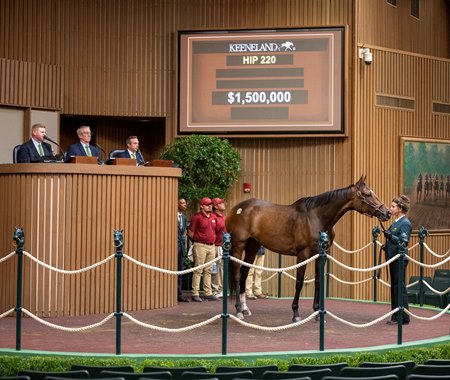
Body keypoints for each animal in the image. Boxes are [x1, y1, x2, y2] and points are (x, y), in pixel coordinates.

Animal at [227, 175, 392, 320]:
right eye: (368, 194)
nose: (387, 212)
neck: (316, 217)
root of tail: (237, 209)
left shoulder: (321, 255)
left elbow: (318, 281)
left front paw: (317, 312)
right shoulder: (303, 255)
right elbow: (299, 282)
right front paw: (296, 313)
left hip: (252, 246)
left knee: (244, 272)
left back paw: (244, 308)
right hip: (238, 246)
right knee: (237, 274)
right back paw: (238, 310)